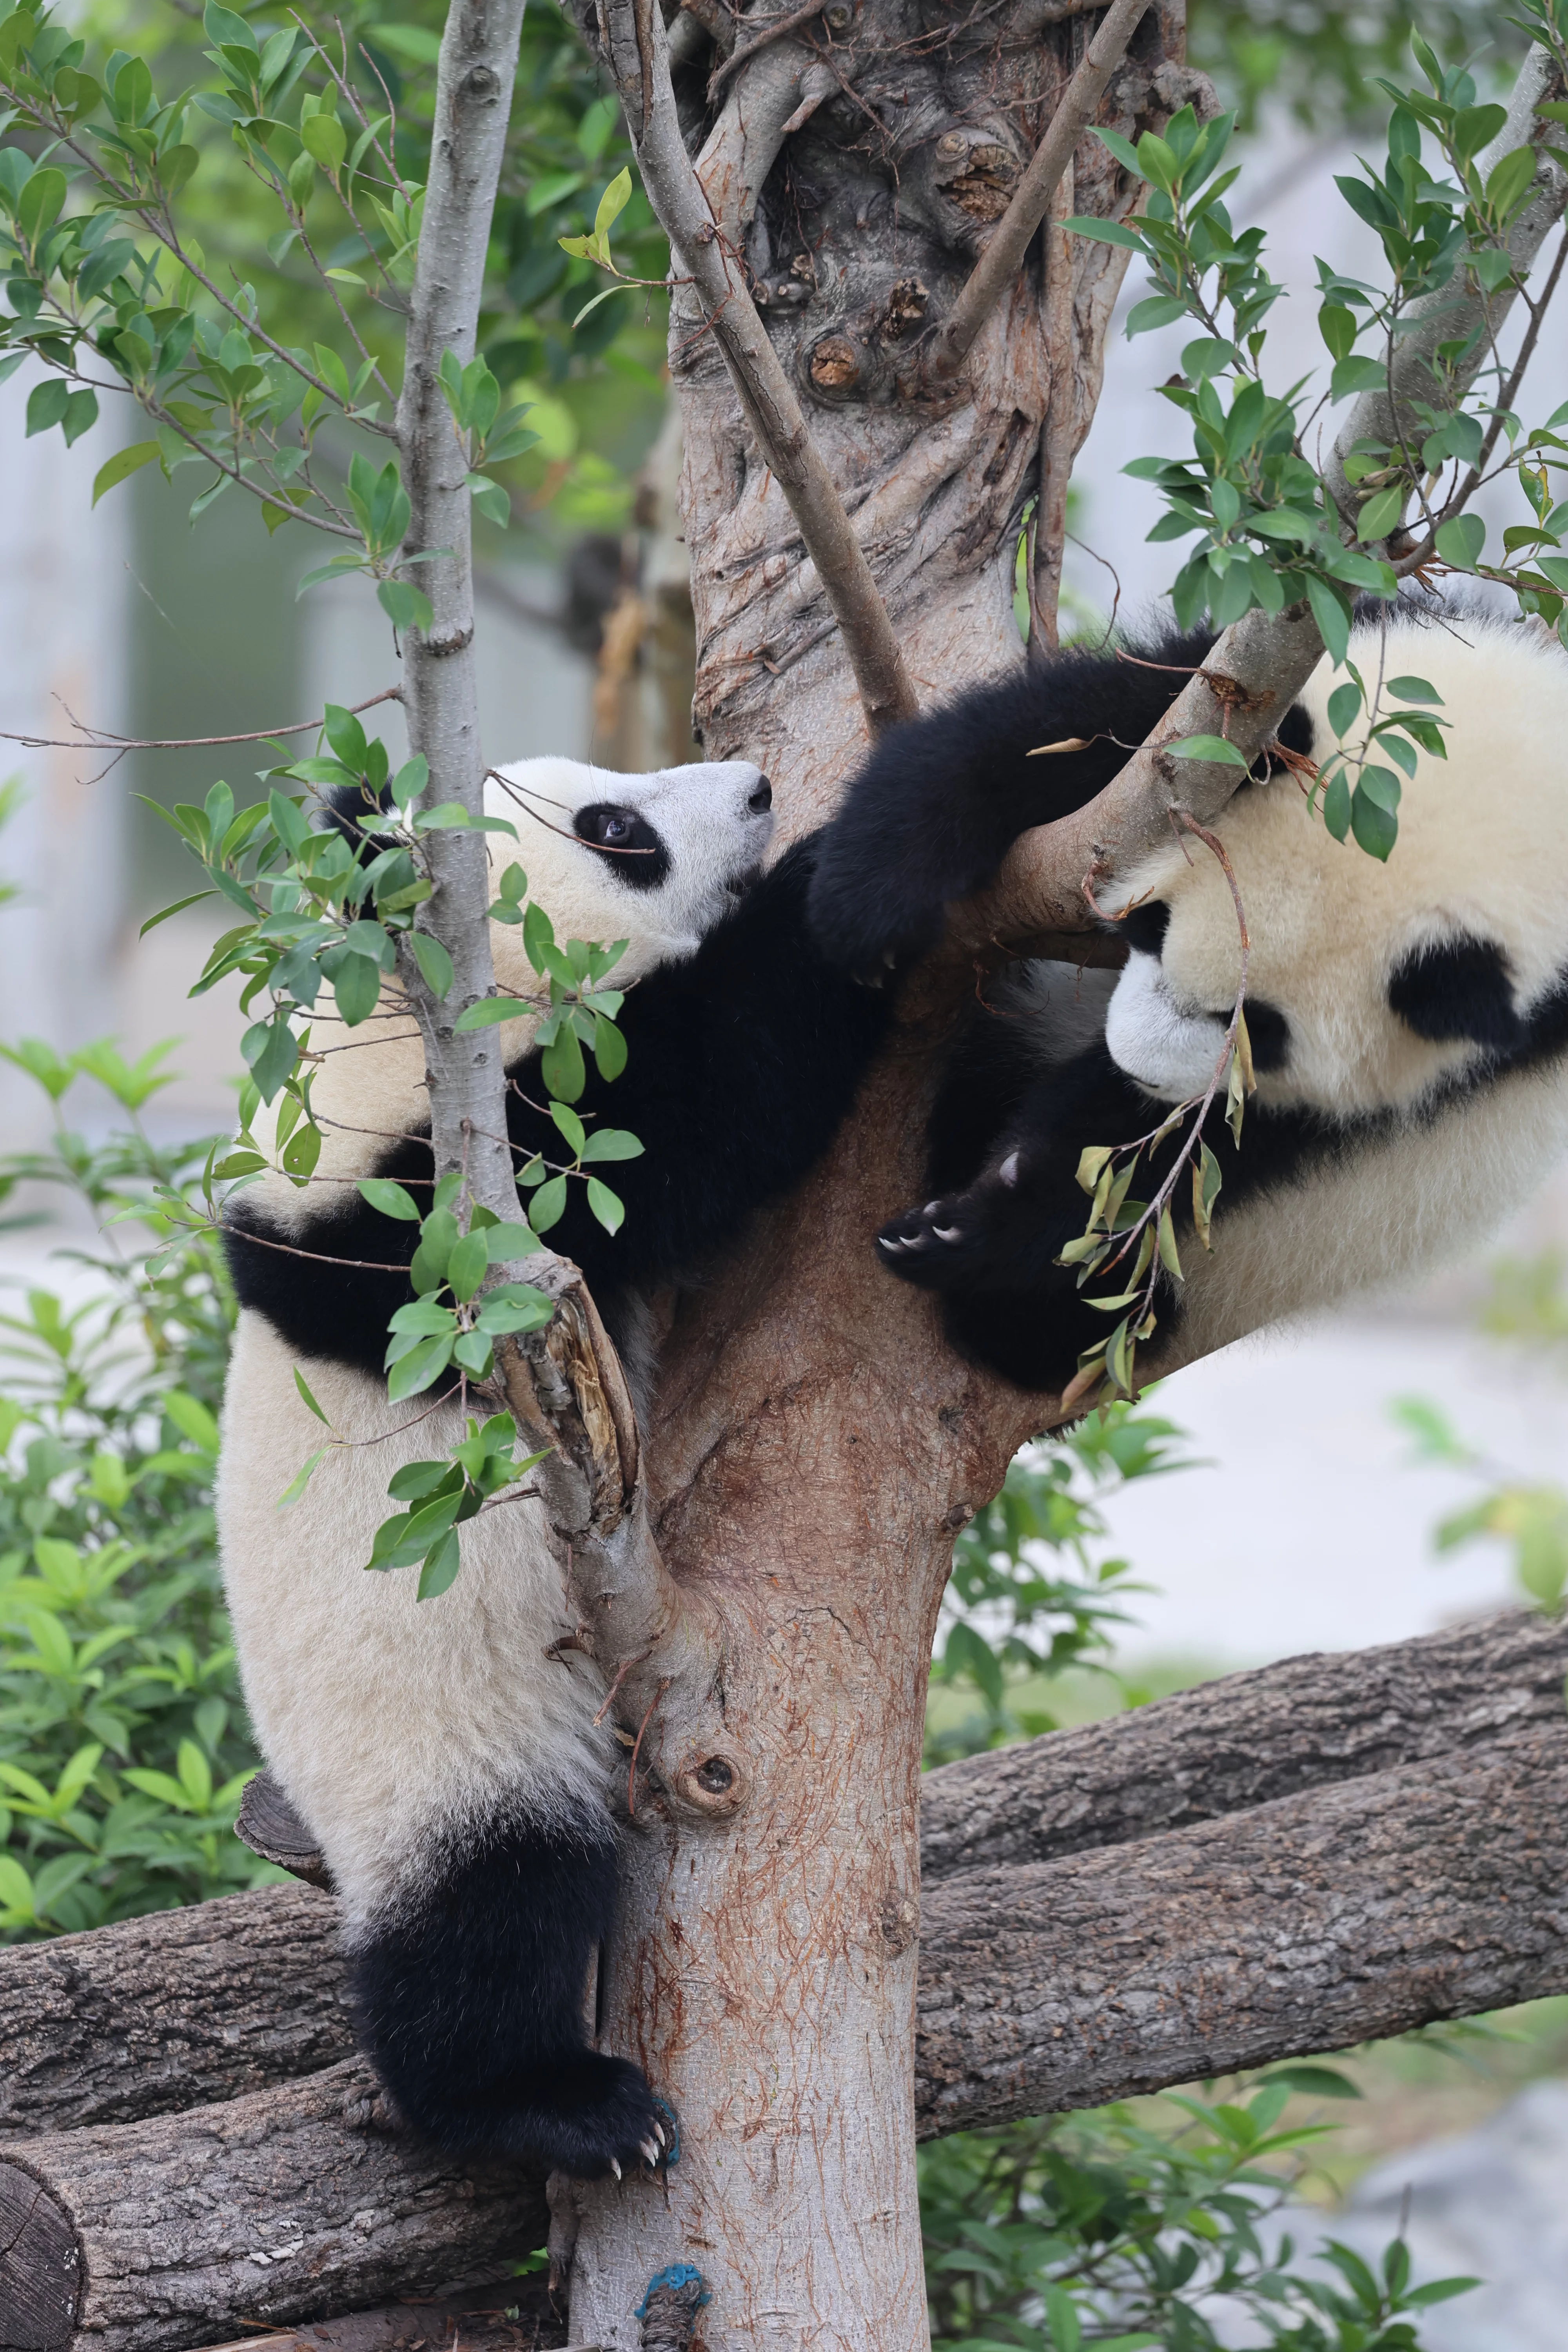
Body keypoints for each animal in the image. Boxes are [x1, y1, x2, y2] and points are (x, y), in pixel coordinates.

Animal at [216, 756, 893, 2178]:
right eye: (616, 830)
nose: (758, 789)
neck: (402, 1027)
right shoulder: (440, 1221)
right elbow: (700, 1095)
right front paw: (860, 857)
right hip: (448, 1741)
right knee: (490, 1910)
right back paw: (560, 2106)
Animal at [807, 607, 1568, 1392]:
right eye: (1152, 921)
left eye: (1259, 1029)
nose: (1135, 1068)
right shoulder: (1253, 693)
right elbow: (1069, 734)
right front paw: (869, 900)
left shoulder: (1462, 1073)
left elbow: (1198, 1151)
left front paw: (973, 1224)